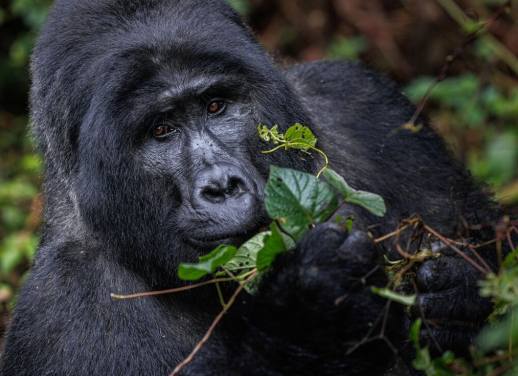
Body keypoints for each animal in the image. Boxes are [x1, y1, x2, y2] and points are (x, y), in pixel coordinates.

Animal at [0, 0, 504, 376]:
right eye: (161, 130)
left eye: (216, 105)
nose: (222, 186)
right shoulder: (64, 312)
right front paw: (312, 310)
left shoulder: (356, 98)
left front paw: (458, 286)